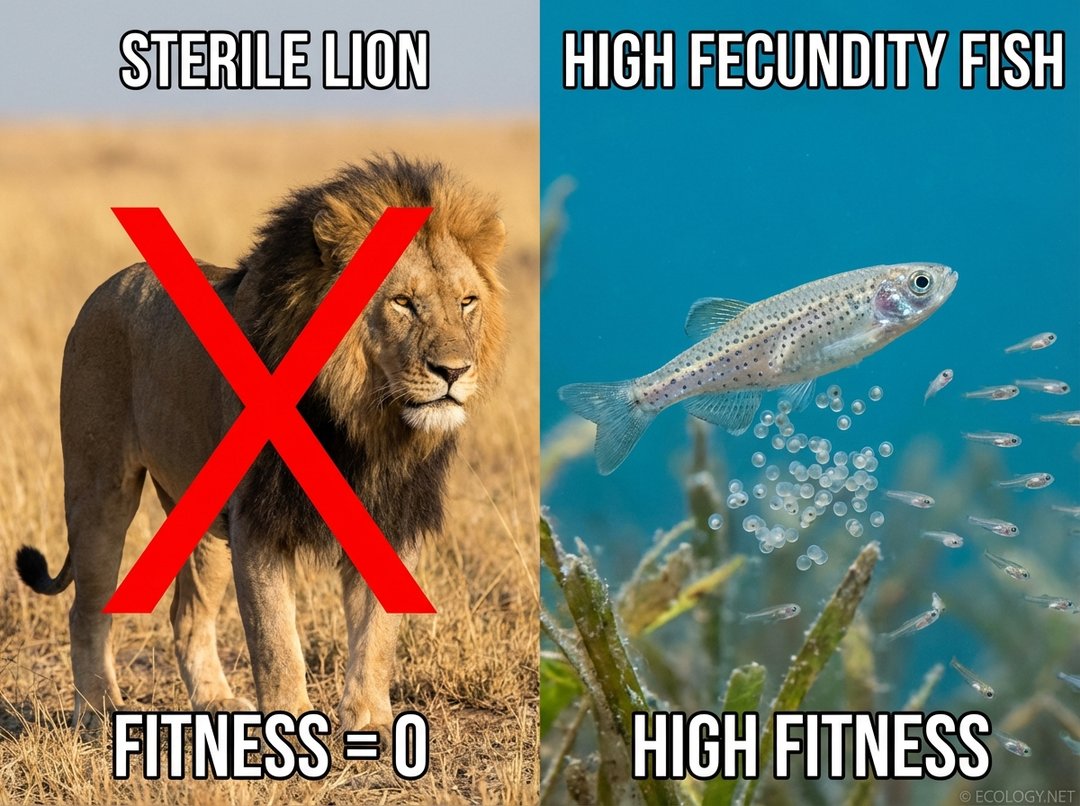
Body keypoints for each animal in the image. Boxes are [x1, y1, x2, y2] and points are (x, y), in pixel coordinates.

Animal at [15, 154, 506, 732]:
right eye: (403, 302)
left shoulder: (387, 513)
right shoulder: (257, 519)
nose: (454, 371)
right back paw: (98, 710)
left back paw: (215, 702)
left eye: (467, 302)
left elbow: (377, 633)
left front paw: (370, 722)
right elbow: (275, 639)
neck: (363, 420)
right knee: (87, 608)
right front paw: (291, 725)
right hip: (100, 489)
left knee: (186, 616)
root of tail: (109, 285)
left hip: (201, 520)